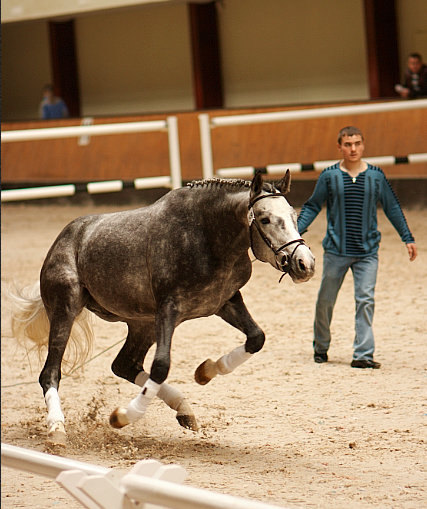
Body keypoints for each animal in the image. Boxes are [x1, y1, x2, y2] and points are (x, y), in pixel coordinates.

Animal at [11, 170, 316, 440]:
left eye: (293, 216)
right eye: (264, 219)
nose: (305, 264)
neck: (207, 236)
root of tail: (64, 238)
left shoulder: (225, 301)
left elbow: (256, 338)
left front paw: (205, 371)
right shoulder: (169, 309)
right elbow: (161, 366)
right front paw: (123, 417)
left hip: (142, 324)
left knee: (124, 365)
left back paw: (185, 411)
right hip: (66, 309)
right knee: (50, 373)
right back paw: (57, 428)